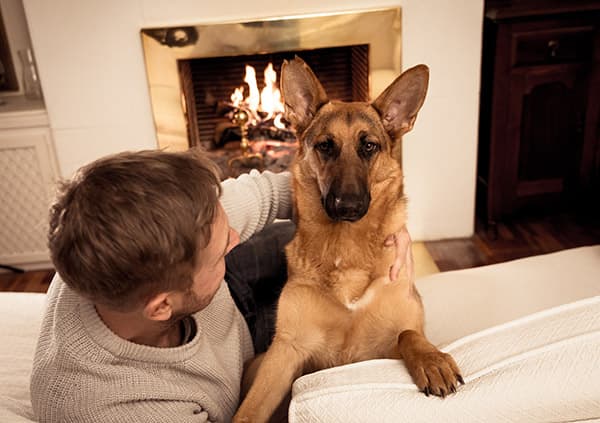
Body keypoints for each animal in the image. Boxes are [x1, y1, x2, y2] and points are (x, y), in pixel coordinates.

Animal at [232, 57, 462, 423]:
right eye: (325, 145)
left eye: (369, 146)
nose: (348, 205)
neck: (345, 246)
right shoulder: (284, 353)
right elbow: (248, 412)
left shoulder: (391, 343)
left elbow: (408, 333)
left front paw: (431, 360)